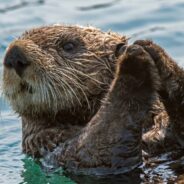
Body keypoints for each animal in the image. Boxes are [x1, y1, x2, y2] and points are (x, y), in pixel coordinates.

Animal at [1, 24, 184, 175]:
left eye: (68, 46)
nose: (14, 55)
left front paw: (152, 49)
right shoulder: (46, 144)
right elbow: (97, 149)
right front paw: (133, 62)